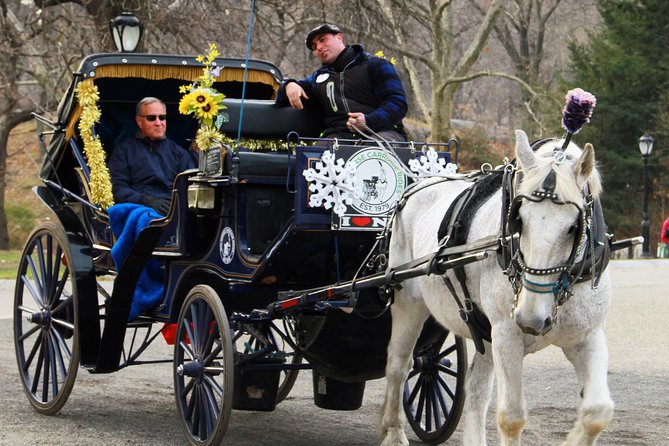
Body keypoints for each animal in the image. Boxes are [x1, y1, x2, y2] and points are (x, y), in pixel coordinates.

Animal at [378, 130, 612, 446]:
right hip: (409, 304)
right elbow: (511, 418)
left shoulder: (586, 336)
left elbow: (597, 412)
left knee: (475, 388)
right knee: (398, 366)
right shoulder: (506, 334)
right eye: (519, 220)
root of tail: (416, 186)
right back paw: (392, 431)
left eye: (574, 227)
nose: (530, 319)